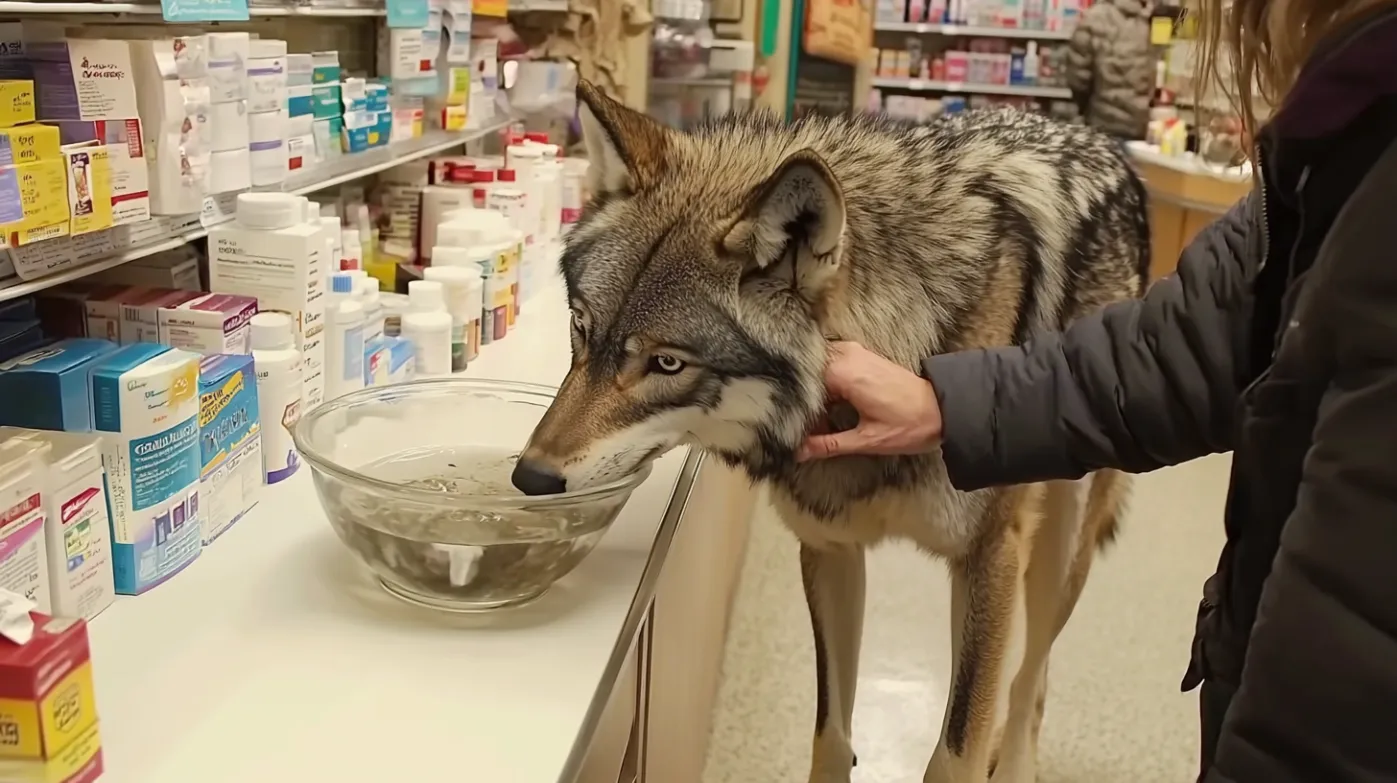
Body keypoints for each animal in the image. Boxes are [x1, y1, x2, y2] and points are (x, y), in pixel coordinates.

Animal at [513, 80, 1148, 783]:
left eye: (667, 364)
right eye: (581, 327)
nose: (529, 476)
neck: (912, 338)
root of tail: (1099, 139)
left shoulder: (992, 558)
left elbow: (954, 751)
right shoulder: (830, 550)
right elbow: (832, 734)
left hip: (1052, 559)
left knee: (1029, 681)